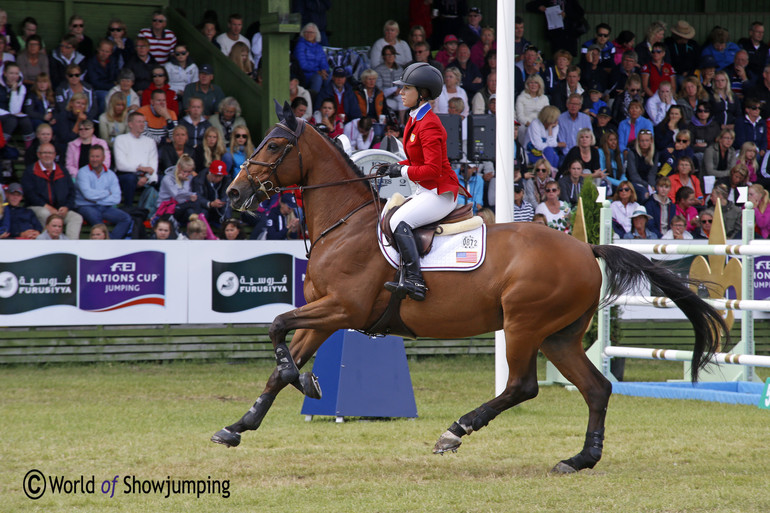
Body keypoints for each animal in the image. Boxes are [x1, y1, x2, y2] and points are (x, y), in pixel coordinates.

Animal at [212, 103, 728, 472]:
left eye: (275, 145)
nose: (233, 193)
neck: (345, 224)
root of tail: (586, 250)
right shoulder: (325, 311)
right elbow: (280, 362)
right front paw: (240, 425)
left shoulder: (343, 308)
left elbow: (277, 326)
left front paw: (305, 382)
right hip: (559, 335)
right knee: (596, 388)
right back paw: (580, 459)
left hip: (524, 323)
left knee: (522, 386)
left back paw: (456, 431)